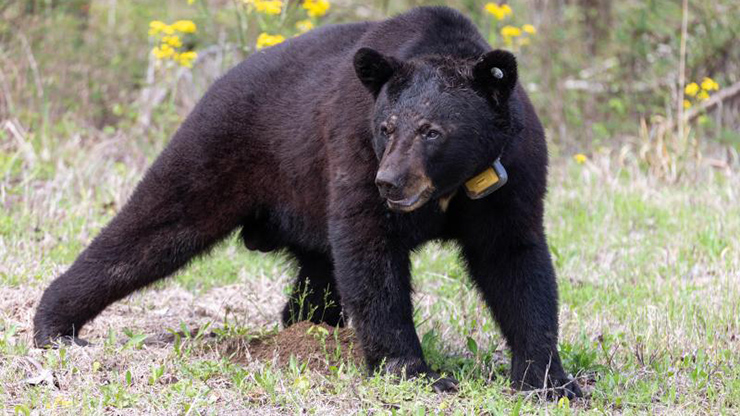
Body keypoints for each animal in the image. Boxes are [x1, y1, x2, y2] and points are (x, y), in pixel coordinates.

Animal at [33, 6, 582, 398]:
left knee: (316, 279)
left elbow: (515, 261)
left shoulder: (511, 174)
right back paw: (54, 326)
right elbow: (370, 253)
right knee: (153, 228)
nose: (390, 182)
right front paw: (416, 372)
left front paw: (549, 381)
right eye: (388, 128)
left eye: (432, 130)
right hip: (220, 151)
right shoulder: (353, 147)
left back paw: (308, 329)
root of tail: (221, 80)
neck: (450, 188)